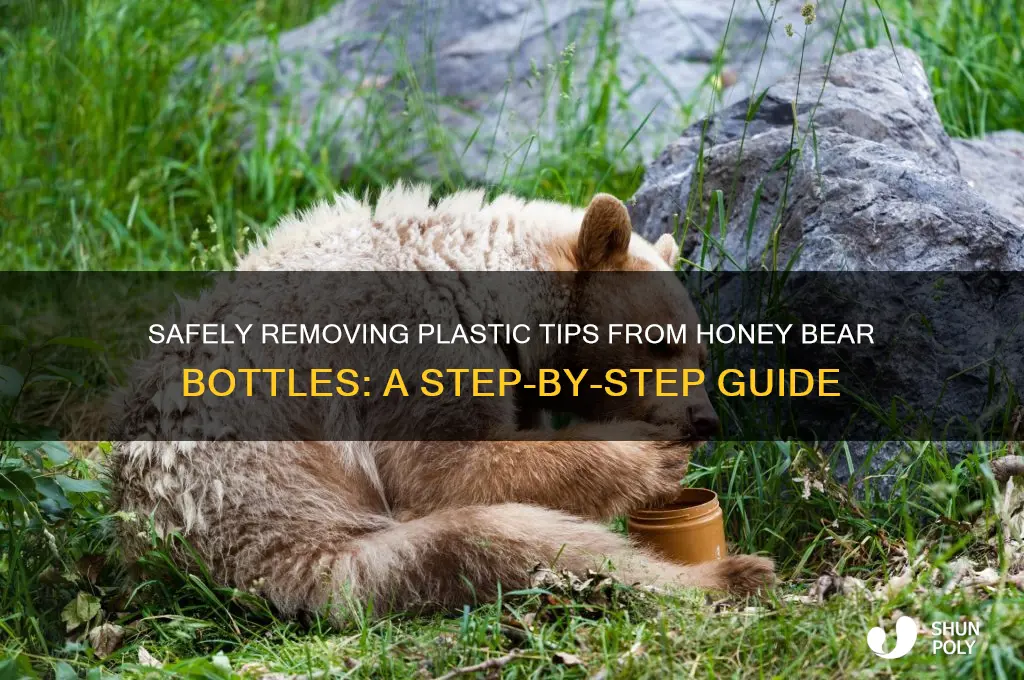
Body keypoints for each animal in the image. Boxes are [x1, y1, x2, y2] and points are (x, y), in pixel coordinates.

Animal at [111, 185, 774, 623]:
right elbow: (448, 472)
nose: (702, 420)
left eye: (702, 350)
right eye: (660, 342)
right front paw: (649, 456)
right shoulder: (408, 349)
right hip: (292, 530)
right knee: (498, 543)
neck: (474, 282)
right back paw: (729, 575)